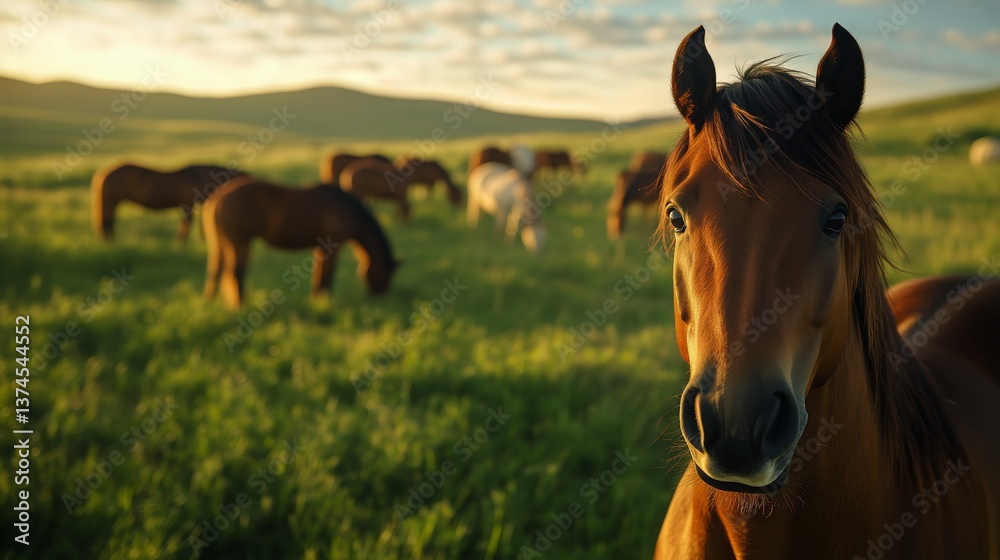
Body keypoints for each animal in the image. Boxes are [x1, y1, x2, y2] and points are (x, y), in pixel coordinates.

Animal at [91, 163, 245, 243]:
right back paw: (109, 241)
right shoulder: (187, 206)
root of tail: (103, 173)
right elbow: (185, 226)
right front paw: (180, 244)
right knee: (107, 220)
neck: (200, 176)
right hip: (111, 201)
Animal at [202, 177, 397, 309]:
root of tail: (220, 196)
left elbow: (319, 276)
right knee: (236, 273)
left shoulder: (320, 249)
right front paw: (325, 302)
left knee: (217, 272)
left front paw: (316, 301)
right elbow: (327, 276)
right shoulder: (333, 248)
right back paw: (239, 305)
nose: (381, 298)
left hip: (222, 245)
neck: (346, 209)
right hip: (240, 244)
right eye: (386, 273)